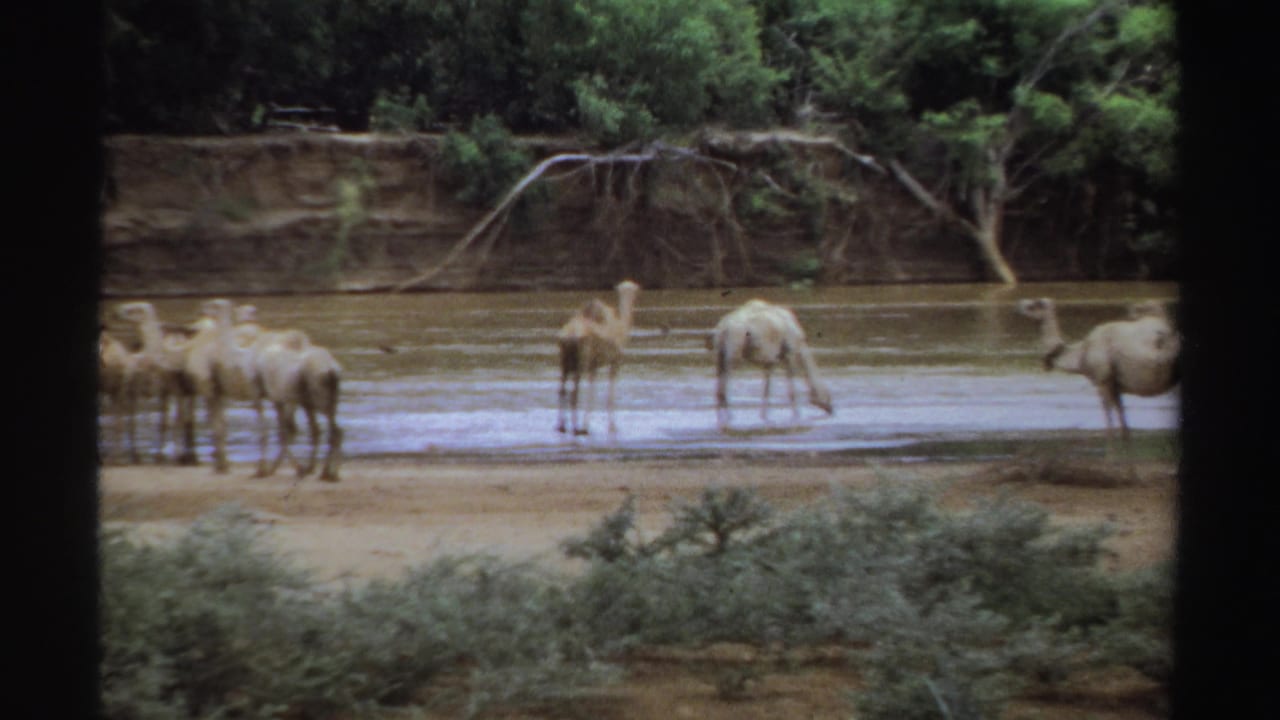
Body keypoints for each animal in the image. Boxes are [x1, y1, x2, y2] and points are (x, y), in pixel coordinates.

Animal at [556, 280, 641, 436]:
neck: (622, 328)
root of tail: (568, 336)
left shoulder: (593, 365)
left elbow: (591, 391)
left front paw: (586, 425)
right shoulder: (615, 361)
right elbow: (609, 395)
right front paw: (611, 427)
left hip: (564, 359)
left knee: (562, 390)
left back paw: (561, 426)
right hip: (582, 358)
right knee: (574, 393)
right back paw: (575, 428)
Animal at [710, 299, 834, 430]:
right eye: (828, 395)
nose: (832, 410)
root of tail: (723, 327)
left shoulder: (770, 360)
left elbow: (767, 390)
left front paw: (764, 417)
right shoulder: (790, 353)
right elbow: (792, 392)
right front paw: (797, 416)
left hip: (720, 352)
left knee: (719, 386)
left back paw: (721, 419)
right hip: (734, 345)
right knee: (724, 386)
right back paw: (730, 418)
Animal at [1017, 297, 1180, 440]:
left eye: (1034, 305)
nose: (1019, 305)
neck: (1081, 354)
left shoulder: (1102, 381)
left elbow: (1109, 425)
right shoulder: (1115, 385)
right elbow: (1124, 425)